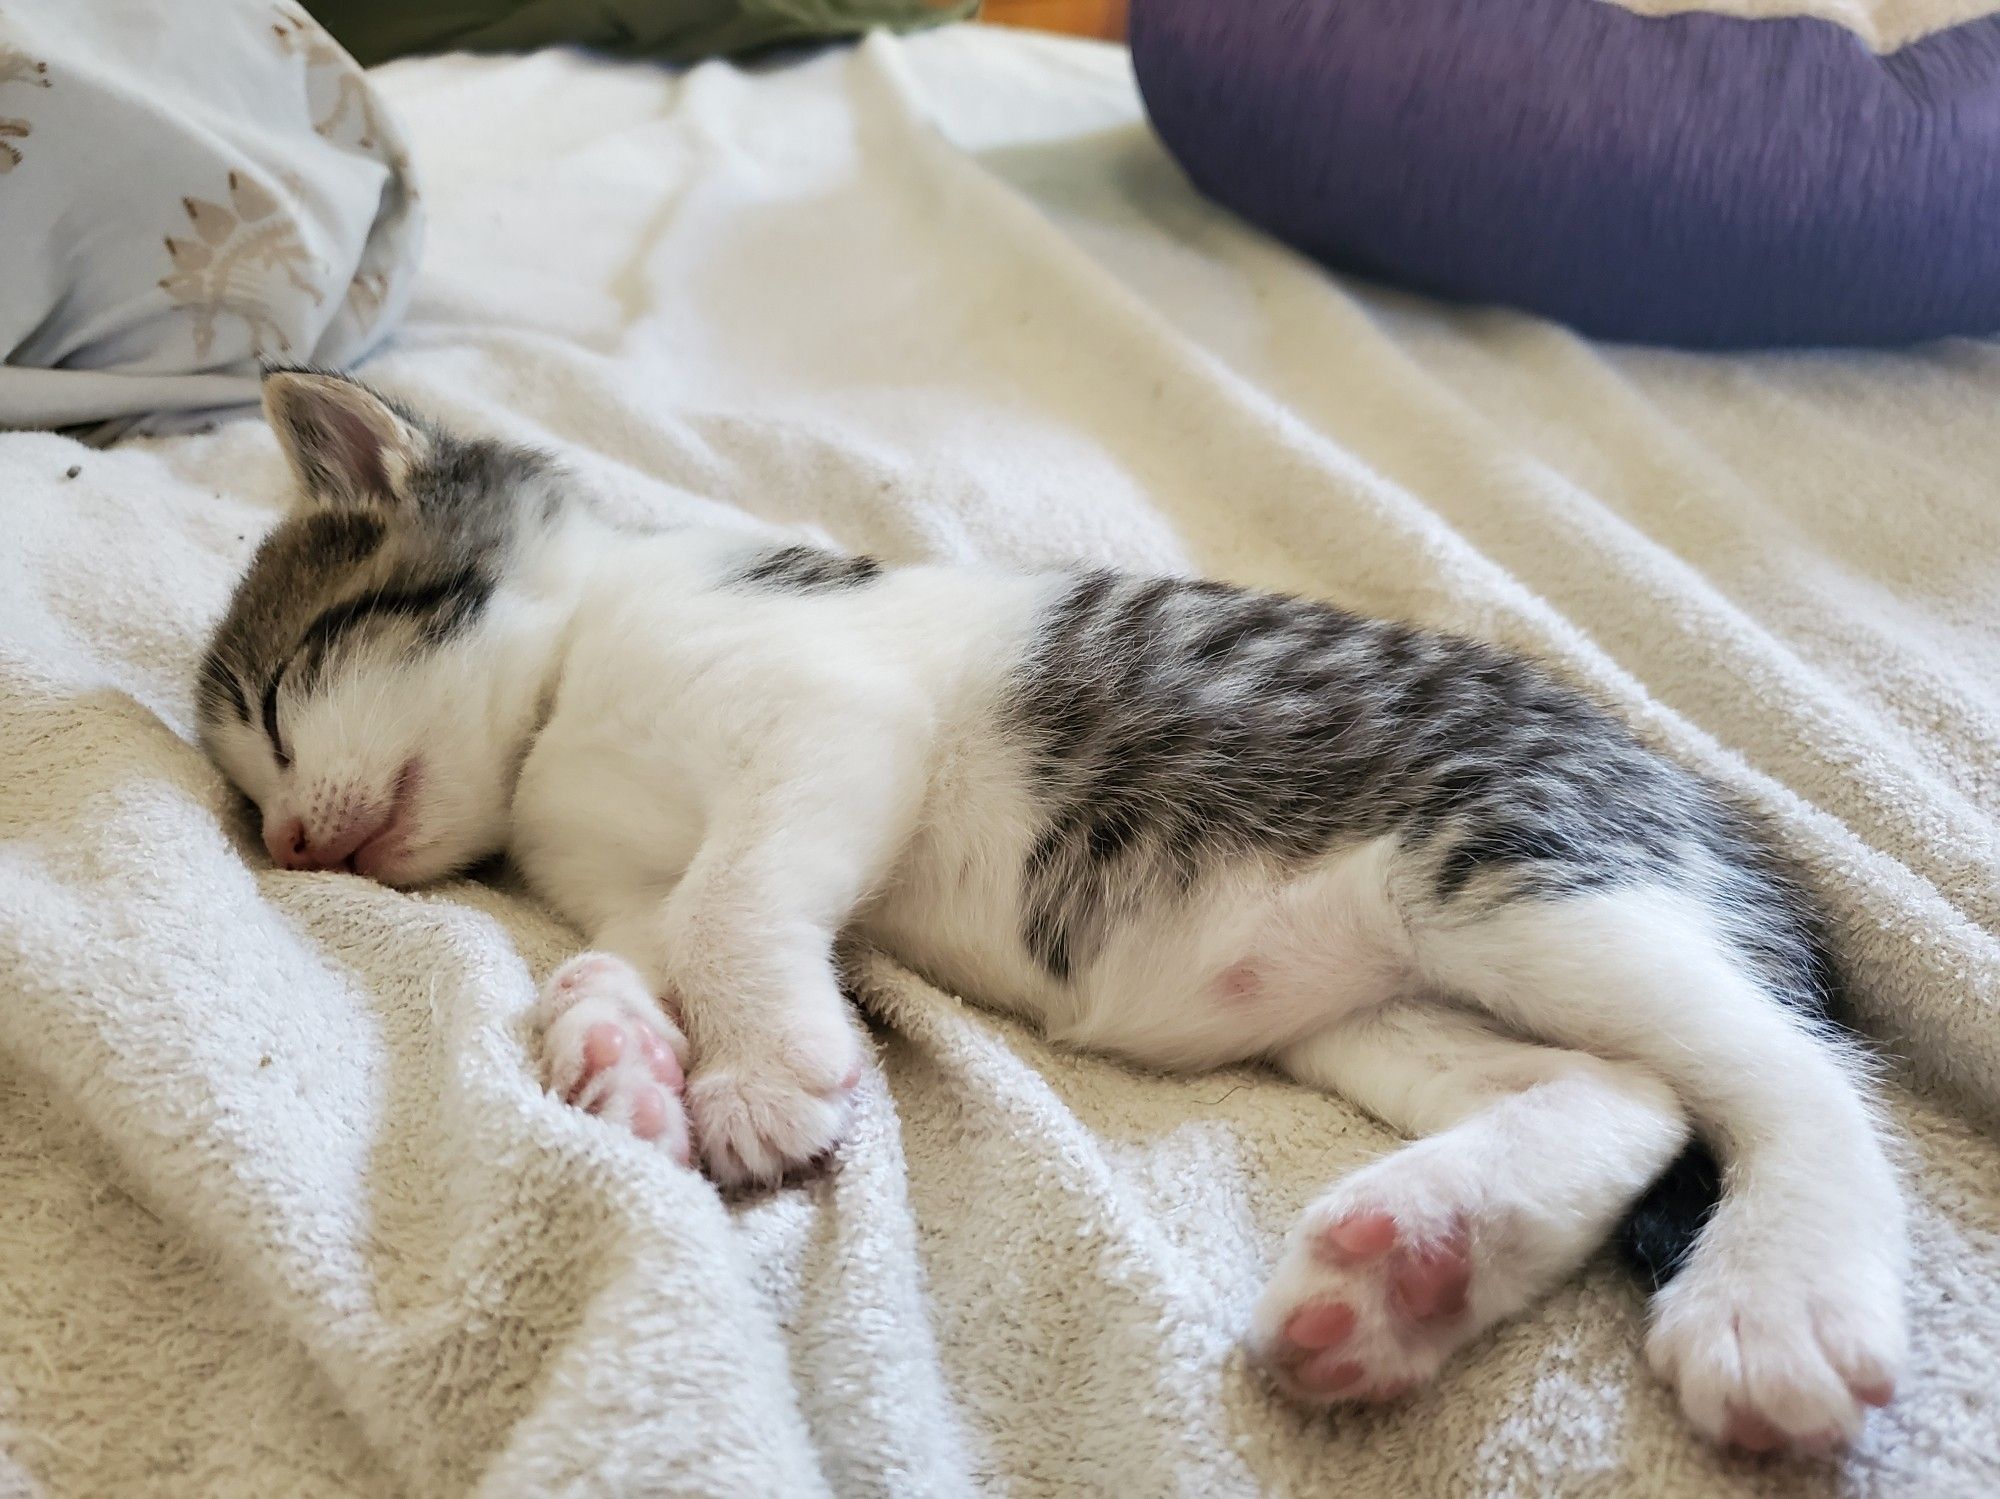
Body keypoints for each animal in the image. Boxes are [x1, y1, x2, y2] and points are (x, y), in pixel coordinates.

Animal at [199, 369, 1904, 1463]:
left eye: (275, 705)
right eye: (243, 783)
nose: (286, 840)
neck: (564, 704)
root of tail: (1697, 803)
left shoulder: (829, 715)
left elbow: (737, 899)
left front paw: (758, 1075)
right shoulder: (625, 873)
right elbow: (641, 939)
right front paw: (616, 1051)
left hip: (1512, 866)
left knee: (1797, 1076)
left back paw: (1779, 1294)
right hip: (1390, 1000)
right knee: (1626, 1093)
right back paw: (1415, 1259)